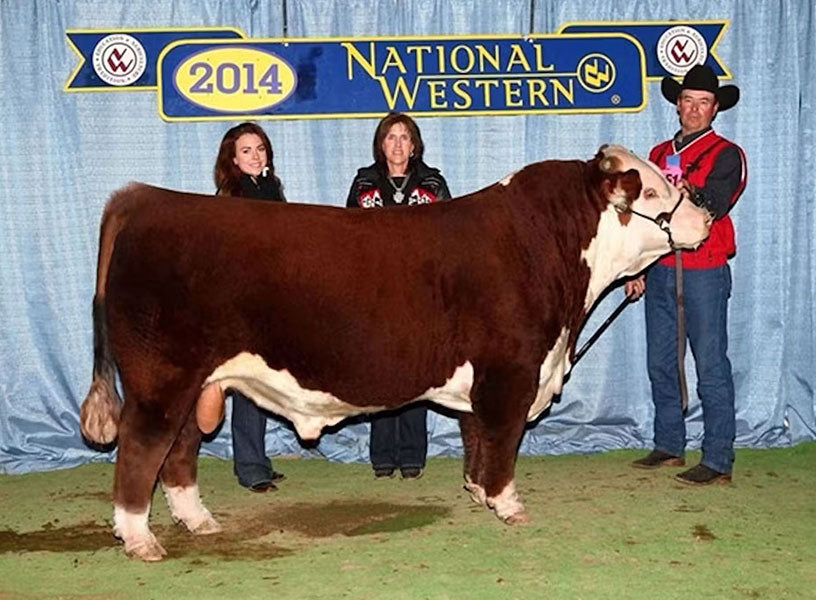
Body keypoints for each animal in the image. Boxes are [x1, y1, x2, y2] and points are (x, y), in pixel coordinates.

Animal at [80, 145, 711, 561]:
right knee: (142, 450)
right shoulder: (511, 370)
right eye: (652, 191)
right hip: (162, 379)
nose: (705, 214)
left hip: (196, 384)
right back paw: (140, 539)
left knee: (179, 452)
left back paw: (199, 522)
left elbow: (477, 436)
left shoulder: (483, 377)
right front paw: (508, 504)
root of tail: (143, 200)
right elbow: (503, 439)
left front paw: (477, 491)